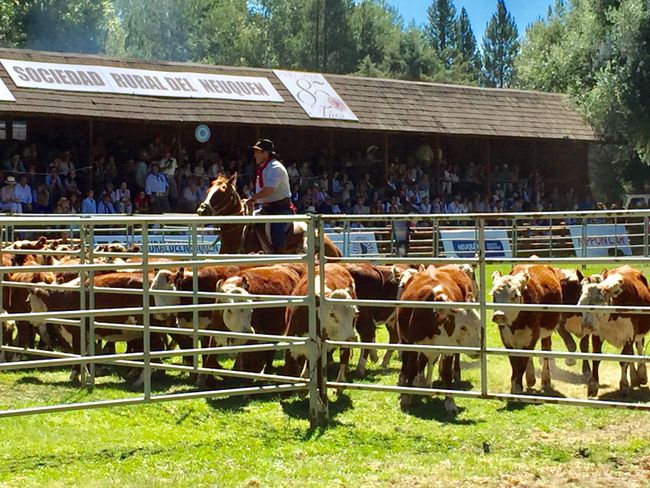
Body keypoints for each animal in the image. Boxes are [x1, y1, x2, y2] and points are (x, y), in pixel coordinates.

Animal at [394, 264, 480, 414]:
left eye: (479, 324)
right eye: (463, 327)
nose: (478, 351)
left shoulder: (448, 348)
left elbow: (446, 373)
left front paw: (450, 403)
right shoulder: (413, 344)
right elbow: (412, 368)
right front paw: (406, 398)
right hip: (405, 341)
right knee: (409, 363)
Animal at [488, 264, 560, 394]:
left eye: (515, 295)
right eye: (494, 295)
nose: (499, 315)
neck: (515, 325)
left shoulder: (531, 335)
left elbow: (521, 363)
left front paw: (517, 387)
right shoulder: (507, 339)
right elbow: (514, 363)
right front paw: (514, 385)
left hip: (547, 331)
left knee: (546, 349)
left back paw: (545, 379)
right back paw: (530, 378)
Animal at [576, 266, 648, 396]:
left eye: (600, 300)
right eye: (580, 300)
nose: (586, 325)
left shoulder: (629, 335)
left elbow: (624, 360)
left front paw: (624, 385)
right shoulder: (597, 334)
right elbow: (596, 357)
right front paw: (593, 385)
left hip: (639, 332)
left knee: (639, 347)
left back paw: (641, 374)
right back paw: (634, 378)